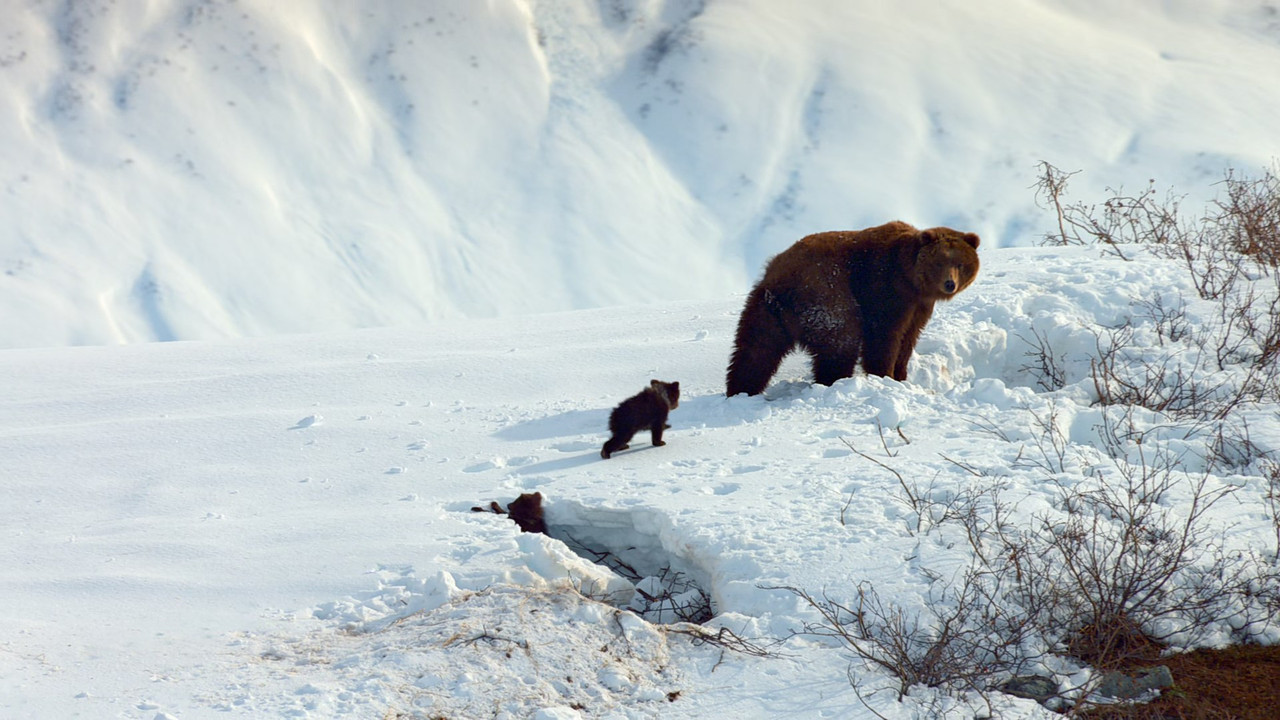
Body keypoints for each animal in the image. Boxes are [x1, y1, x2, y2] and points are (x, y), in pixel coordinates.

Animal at [726, 221, 979, 396]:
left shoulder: (919, 306)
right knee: (840, 338)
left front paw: (901, 375)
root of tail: (779, 282)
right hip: (823, 294)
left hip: (764, 310)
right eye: (939, 262)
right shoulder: (885, 289)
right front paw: (884, 376)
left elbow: (909, 337)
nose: (949, 283)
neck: (911, 279)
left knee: (756, 349)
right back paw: (834, 380)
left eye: (960, 263)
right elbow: (884, 336)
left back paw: (741, 388)